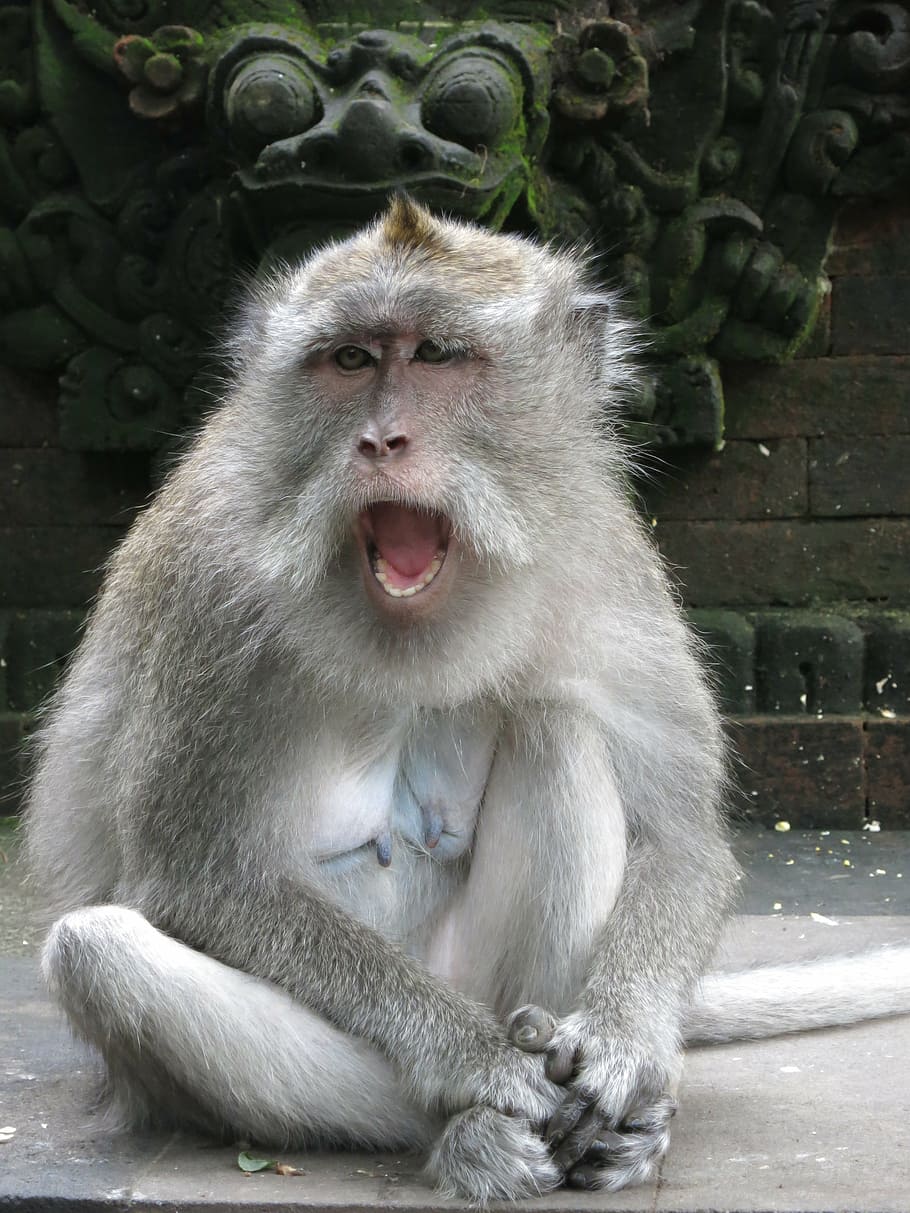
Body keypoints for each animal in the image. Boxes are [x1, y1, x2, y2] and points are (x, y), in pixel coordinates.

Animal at [24, 196, 910, 1202]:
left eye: (438, 354)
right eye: (351, 359)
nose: (381, 441)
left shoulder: (604, 551)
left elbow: (681, 838)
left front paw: (625, 1046)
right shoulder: (208, 588)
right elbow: (195, 873)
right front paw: (476, 1066)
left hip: (485, 969)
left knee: (559, 730)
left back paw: (595, 1109)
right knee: (100, 952)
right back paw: (474, 1126)